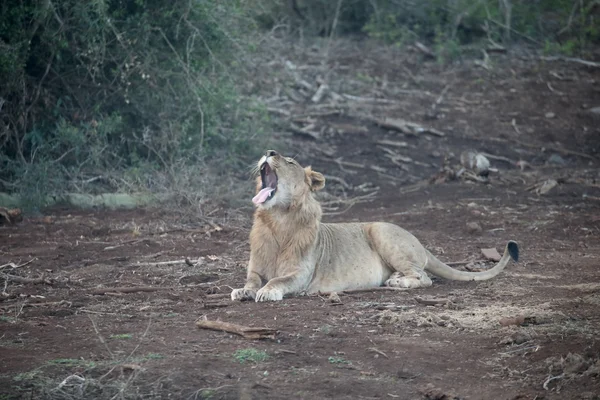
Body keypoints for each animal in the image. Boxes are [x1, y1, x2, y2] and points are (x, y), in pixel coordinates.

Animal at [232, 152, 516, 302]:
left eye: (290, 161)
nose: (269, 152)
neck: (278, 220)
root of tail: (419, 242)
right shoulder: (256, 267)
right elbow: (252, 279)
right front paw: (243, 290)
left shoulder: (301, 274)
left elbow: (278, 279)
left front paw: (267, 292)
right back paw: (395, 278)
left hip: (381, 231)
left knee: (424, 278)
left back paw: (398, 283)